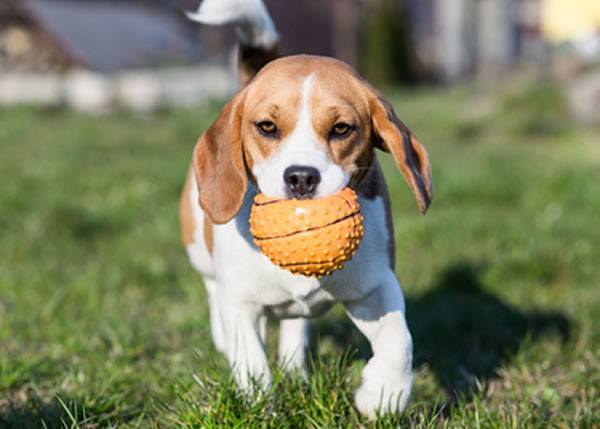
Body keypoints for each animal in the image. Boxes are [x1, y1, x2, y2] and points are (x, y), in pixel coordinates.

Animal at [180, 0, 434, 416]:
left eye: (342, 128)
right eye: (267, 127)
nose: (301, 177)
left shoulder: (375, 287)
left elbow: (400, 339)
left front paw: (383, 393)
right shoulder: (242, 303)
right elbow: (251, 360)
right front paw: (259, 407)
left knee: (295, 325)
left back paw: (295, 370)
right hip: (200, 252)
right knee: (213, 290)